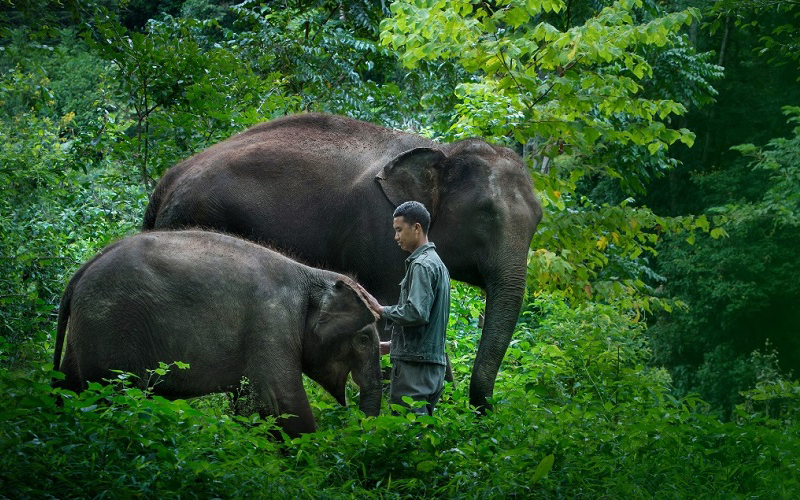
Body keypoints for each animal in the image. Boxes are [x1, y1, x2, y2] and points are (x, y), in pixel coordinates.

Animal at [53, 231, 382, 438]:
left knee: (73, 389)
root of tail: (79, 275)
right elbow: (282, 399)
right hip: (111, 326)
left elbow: (247, 405)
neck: (311, 275)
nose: (356, 431)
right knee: (116, 393)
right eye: (364, 339)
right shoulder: (271, 321)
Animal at [144, 114, 544, 414]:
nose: (482, 411)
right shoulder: (378, 232)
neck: (441, 150)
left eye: (538, 219)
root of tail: (164, 182)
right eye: (485, 214)